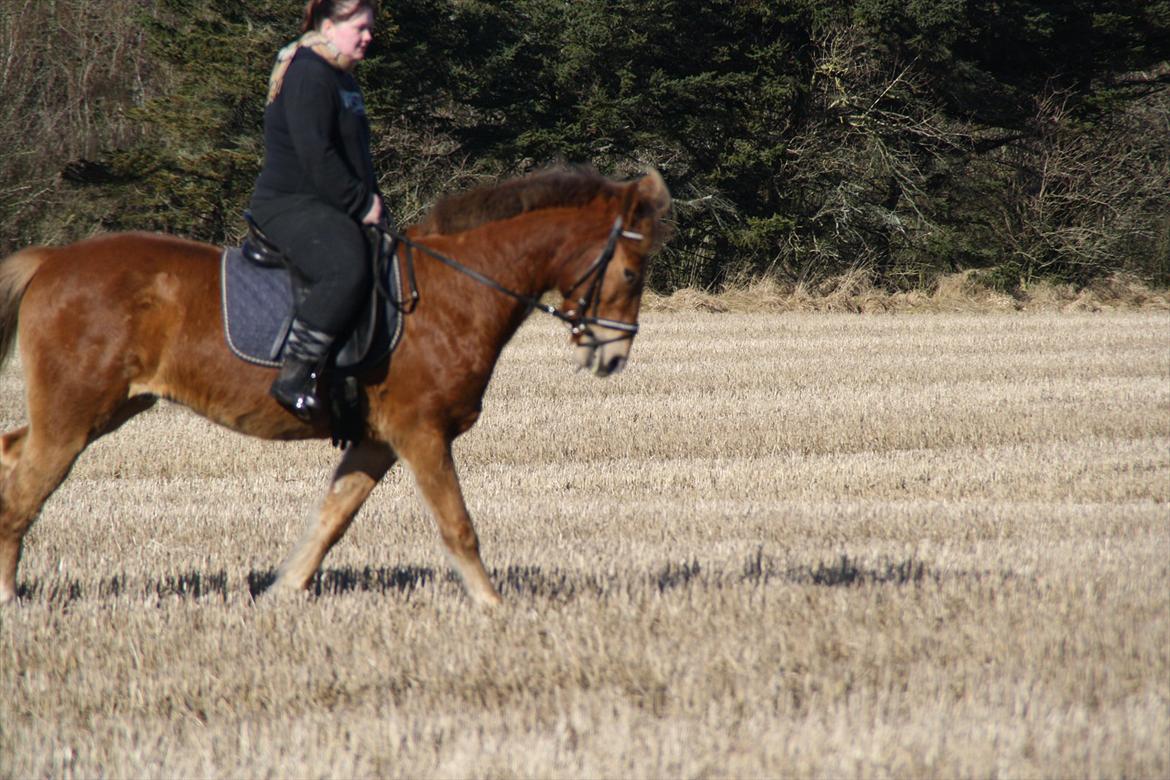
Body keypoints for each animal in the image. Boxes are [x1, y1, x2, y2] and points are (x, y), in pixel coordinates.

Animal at [0, 169, 673, 603]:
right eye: (631, 272)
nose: (615, 355)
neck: (458, 291)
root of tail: (53, 261)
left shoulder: (377, 441)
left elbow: (332, 518)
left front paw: (280, 593)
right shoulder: (422, 434)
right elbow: (458, 526)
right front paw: (495, 609)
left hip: (109, 407)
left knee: (13, 455)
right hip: (74, 416)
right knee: (25, 492)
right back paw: (8, 595)